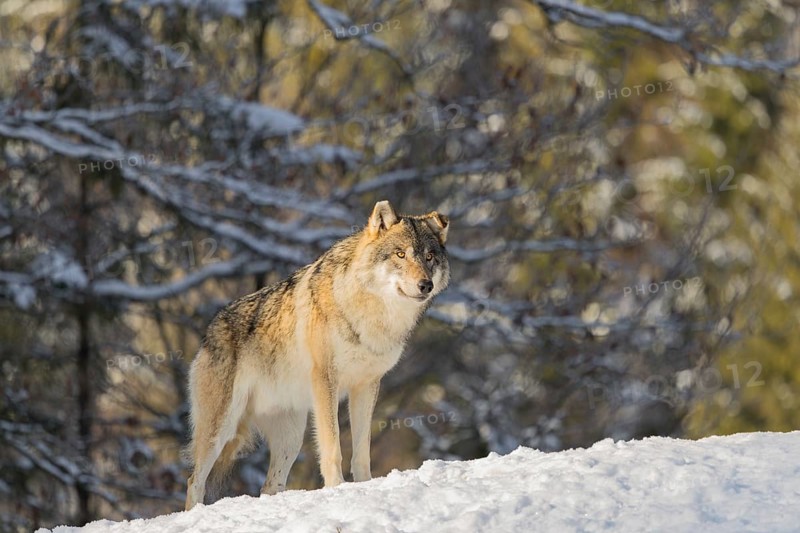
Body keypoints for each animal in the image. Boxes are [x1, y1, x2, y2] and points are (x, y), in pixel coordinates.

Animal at [184, 200, 450, 509]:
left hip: (291, 437)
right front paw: (337, 488)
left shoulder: (367, 385)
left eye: (429, 257)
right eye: (400, 254)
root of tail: (209, 331)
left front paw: (365, 486)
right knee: (194, 481)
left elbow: (361, 450)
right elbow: (333, 446)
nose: (425, 285)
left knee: (269, 484)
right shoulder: (326, 381)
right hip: (221, 429)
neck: (372, 314)